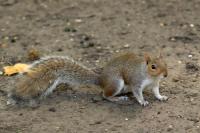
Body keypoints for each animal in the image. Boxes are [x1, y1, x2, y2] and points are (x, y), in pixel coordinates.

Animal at [7, 51, 167, 106]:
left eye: (165, 63)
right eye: (153, 66)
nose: (165, 75)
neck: (151, 77)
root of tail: (100, 79)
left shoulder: (155, 84)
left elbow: (156, 92)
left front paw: (161, 97)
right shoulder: (136, 81)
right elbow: (138, 92)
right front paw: (143, 101)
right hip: (116, 83)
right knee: (104, 95)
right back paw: (117, 98)